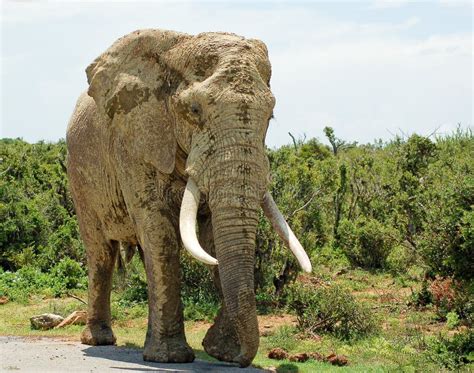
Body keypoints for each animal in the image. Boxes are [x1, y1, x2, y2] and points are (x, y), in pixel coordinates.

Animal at [66, 29, 312, 366]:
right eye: (195, 110)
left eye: (271, 116)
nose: (241, 360)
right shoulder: (134, 142)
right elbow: (159, 231)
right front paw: (170, 358)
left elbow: (212, 239)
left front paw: (220, 351)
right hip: (80, 176)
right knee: (101, 252)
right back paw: (99, 340)